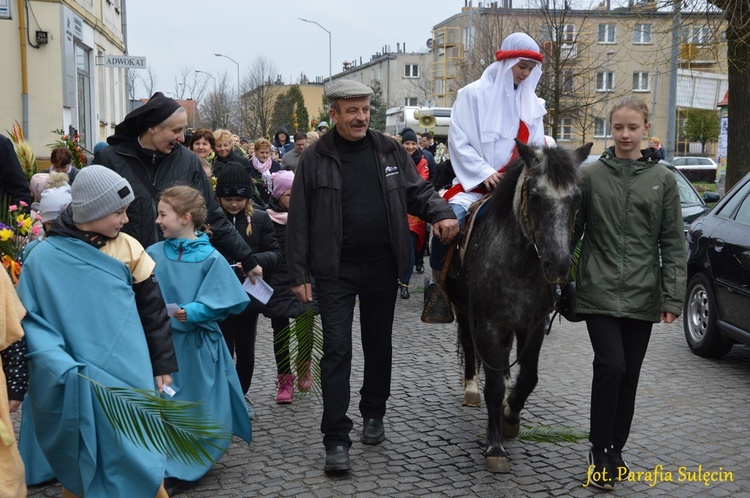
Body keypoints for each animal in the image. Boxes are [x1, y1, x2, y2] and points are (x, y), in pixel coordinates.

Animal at [446, 139, 592, 470]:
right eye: (535, 197)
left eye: (577, 198)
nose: (559, 265)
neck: (519, 265)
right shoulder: (488, 325)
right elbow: (493, 386)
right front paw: (495, 446)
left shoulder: (533, 325)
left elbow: (527, 378)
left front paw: (510, 415)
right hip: (465, 312)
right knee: (470, 348)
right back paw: (471, 388)